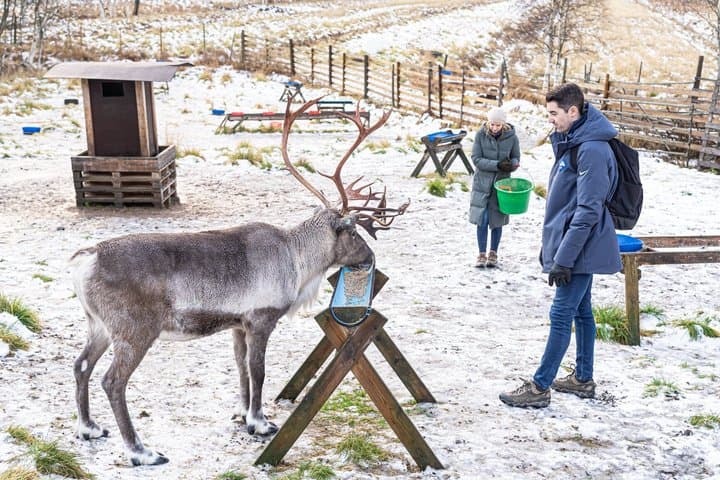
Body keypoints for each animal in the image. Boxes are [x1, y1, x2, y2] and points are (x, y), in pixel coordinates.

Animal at [69, 97, 408, 466]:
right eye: (355, 232)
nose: (370, 259)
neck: (297, 259)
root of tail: (86, 258)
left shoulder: (237, 324)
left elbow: (241, 369)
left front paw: (242, 413)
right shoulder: (261, 320)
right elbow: (258, 370)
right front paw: (260, 423)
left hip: (98, 325)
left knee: (81, 365)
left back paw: (90, 428)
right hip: (134, 330)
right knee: (112, 381)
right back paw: (141, 451)